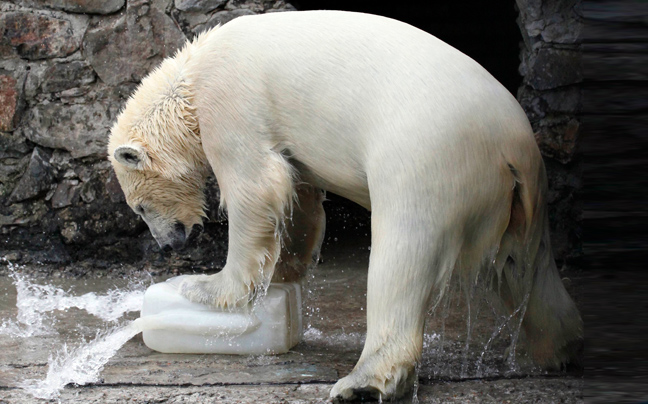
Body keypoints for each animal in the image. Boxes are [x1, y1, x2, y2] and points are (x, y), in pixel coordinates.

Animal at [109, 9, 584, 400]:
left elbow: (254, 185)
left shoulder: (230, 101)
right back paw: (561, 348)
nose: (168, 245)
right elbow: (296, 188)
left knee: (403, 256)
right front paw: (285, 269)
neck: (190, 75)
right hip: (522, 198)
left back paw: (364, 382)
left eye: (139, 208)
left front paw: (206, 287)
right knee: (525, 267)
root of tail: (512, 147)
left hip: (431, 156)